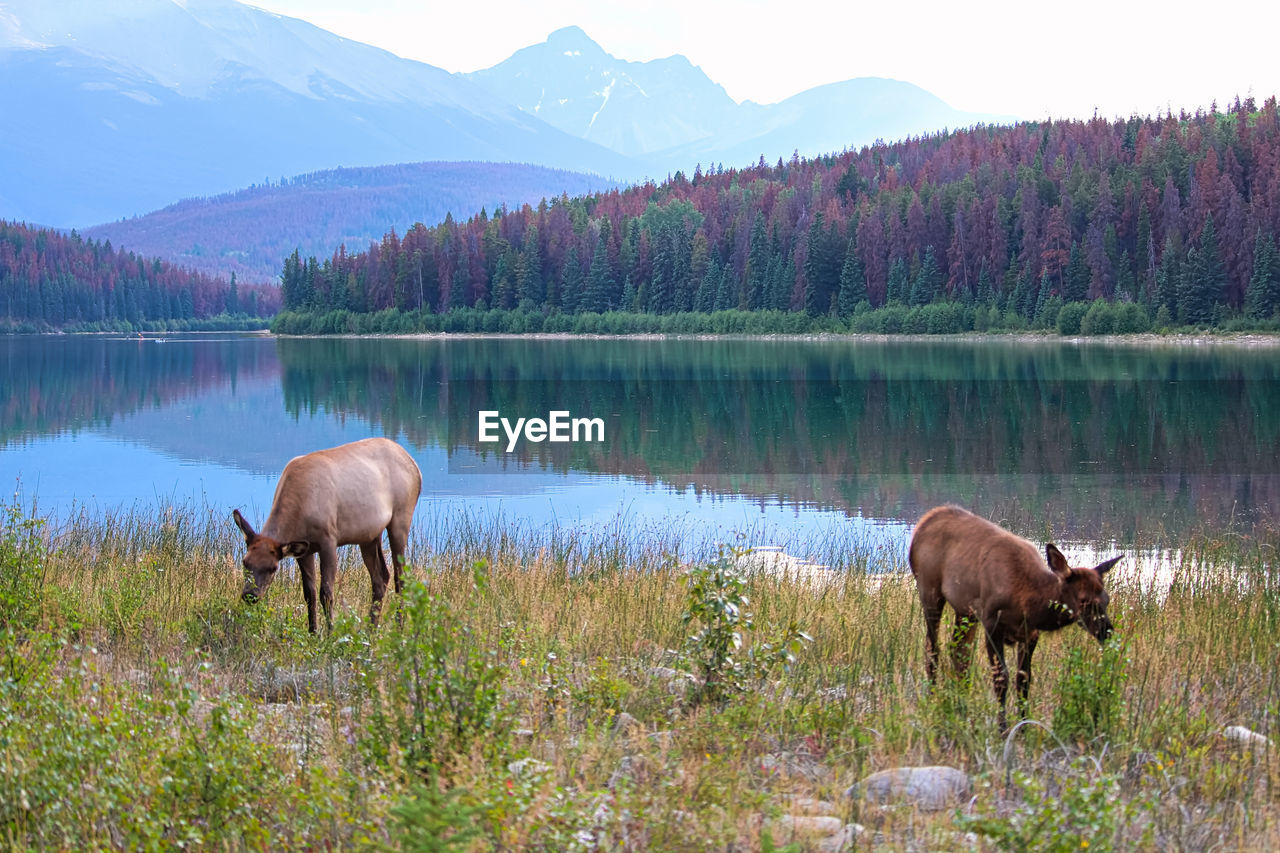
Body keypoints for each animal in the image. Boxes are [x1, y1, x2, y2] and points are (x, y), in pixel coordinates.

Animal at [232, 438, 422, 630]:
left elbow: (326, 593)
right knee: (381, 577)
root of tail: (415, 467)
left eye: (273, 568)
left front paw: (331, 632)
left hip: (400, 519)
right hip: (369, 536)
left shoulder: (328, 540)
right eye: (245, 562)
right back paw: (371, 629)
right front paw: (313, 632)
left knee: (401, 577)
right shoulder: (305, 550)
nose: (250, 595)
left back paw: (399, 627)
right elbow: (309, 594)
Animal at [911, 502, 1121, 727]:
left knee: (959, 652)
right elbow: (1001, 677)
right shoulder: (991, 622)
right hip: (929, 590)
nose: (1107, 631)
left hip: (965, 610)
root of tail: (923, 523)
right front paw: (1002, 727)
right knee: (933, 647)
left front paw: (1023, 725)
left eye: (1107, 598)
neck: (1028, 602)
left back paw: (960, 703)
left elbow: (1024, 679)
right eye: (1083, 600)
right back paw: (933, 698)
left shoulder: (1030, 633)